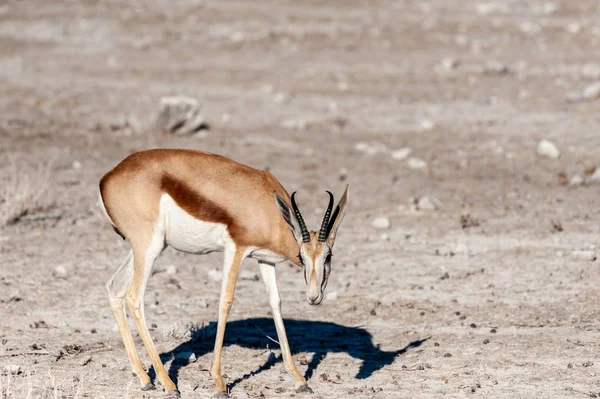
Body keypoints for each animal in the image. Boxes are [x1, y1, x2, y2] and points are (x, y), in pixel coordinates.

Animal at [98, 148, 350, 398]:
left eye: (328, 256)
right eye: (302, 255)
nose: (314, 296)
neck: (266, 203)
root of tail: (107, 178)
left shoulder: (264, 260)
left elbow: (275, 304)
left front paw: (300, 380)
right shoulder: (235, 250)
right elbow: (226, 302)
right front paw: (219, 383)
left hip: (143, 249)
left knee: (115, 288)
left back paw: (144, 379)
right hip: (149, 247)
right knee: (134, 298)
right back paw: (168, 384)